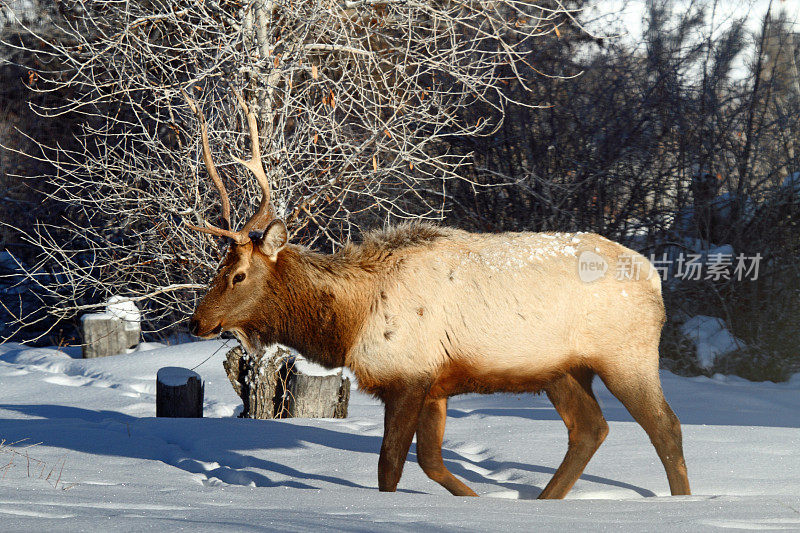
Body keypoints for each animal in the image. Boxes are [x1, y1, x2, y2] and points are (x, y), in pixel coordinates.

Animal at [184, 92, 692, 498]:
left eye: (238, 275)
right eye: (220, 268)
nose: (197, 320)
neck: (348, 323)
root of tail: (654, 277)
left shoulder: (408, 375)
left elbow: (390, 466)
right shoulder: (434, 382)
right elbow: (430, 462)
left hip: (626, 354)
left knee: (665, 426)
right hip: (561, 369)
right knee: (590, 428)